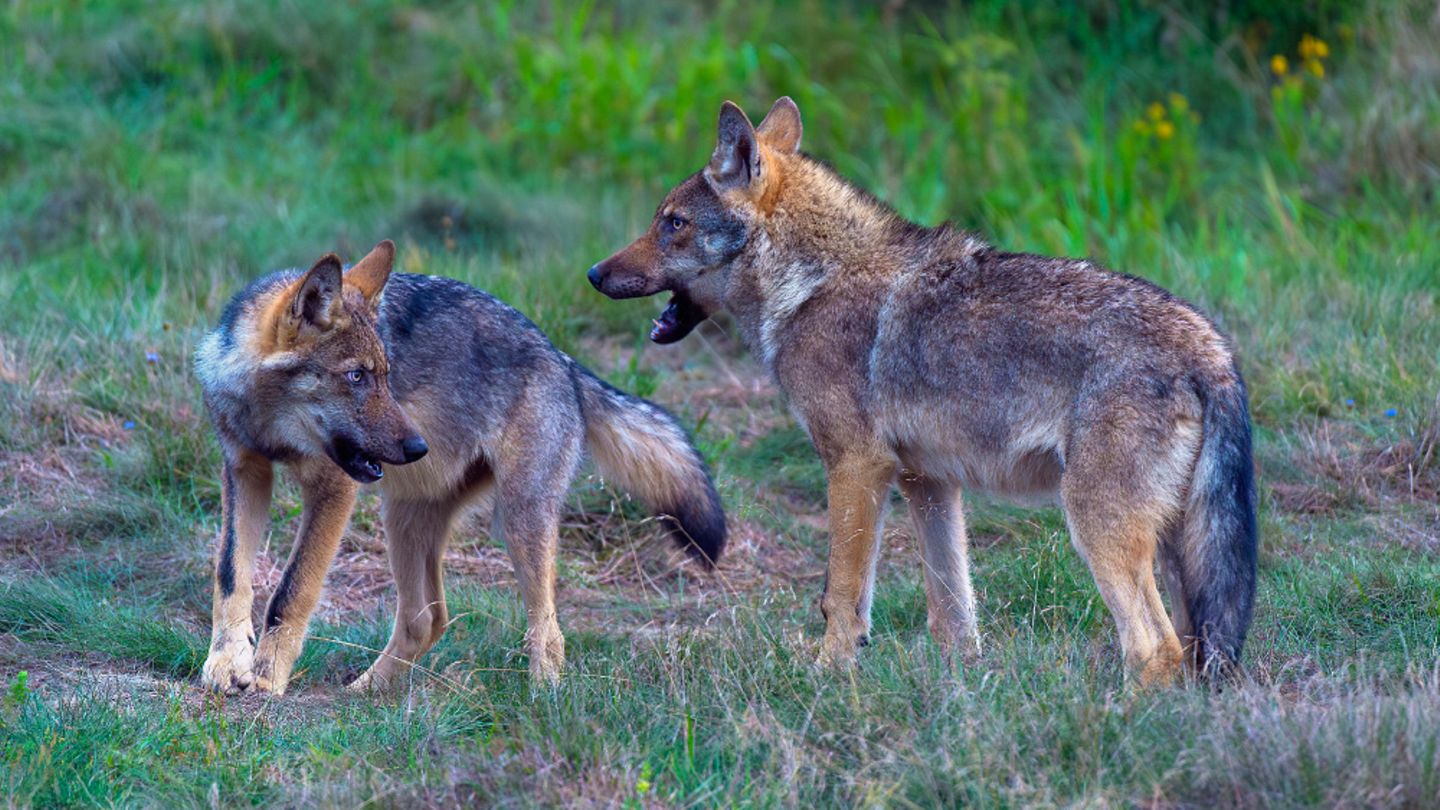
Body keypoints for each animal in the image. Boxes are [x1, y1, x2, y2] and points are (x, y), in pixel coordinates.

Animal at [194, 240, 725, 694]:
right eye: (357, 376)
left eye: (384, 376)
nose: (417, 446)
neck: (268, 422)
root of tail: (565, 361)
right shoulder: (244, 471)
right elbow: (230, 575)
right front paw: (226, 664)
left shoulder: (334, 489)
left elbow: (292, 590)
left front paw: (266, 677)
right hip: (404, 519)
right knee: (425, 620)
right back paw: (365, 692)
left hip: (520, 522)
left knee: (547, 629)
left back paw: (543, 701)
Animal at [588, 98, 1257, 684]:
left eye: (673, 224)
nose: (594, 273)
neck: (810, 285)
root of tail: (1211, 350)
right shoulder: (927, 481)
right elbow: (954, 617)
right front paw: (960, 693)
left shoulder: (856, 465)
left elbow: (842, 595)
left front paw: (827, 678)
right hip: (1177, 553)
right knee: (1192, 649)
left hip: (1097, 527)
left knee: (1154, 647)